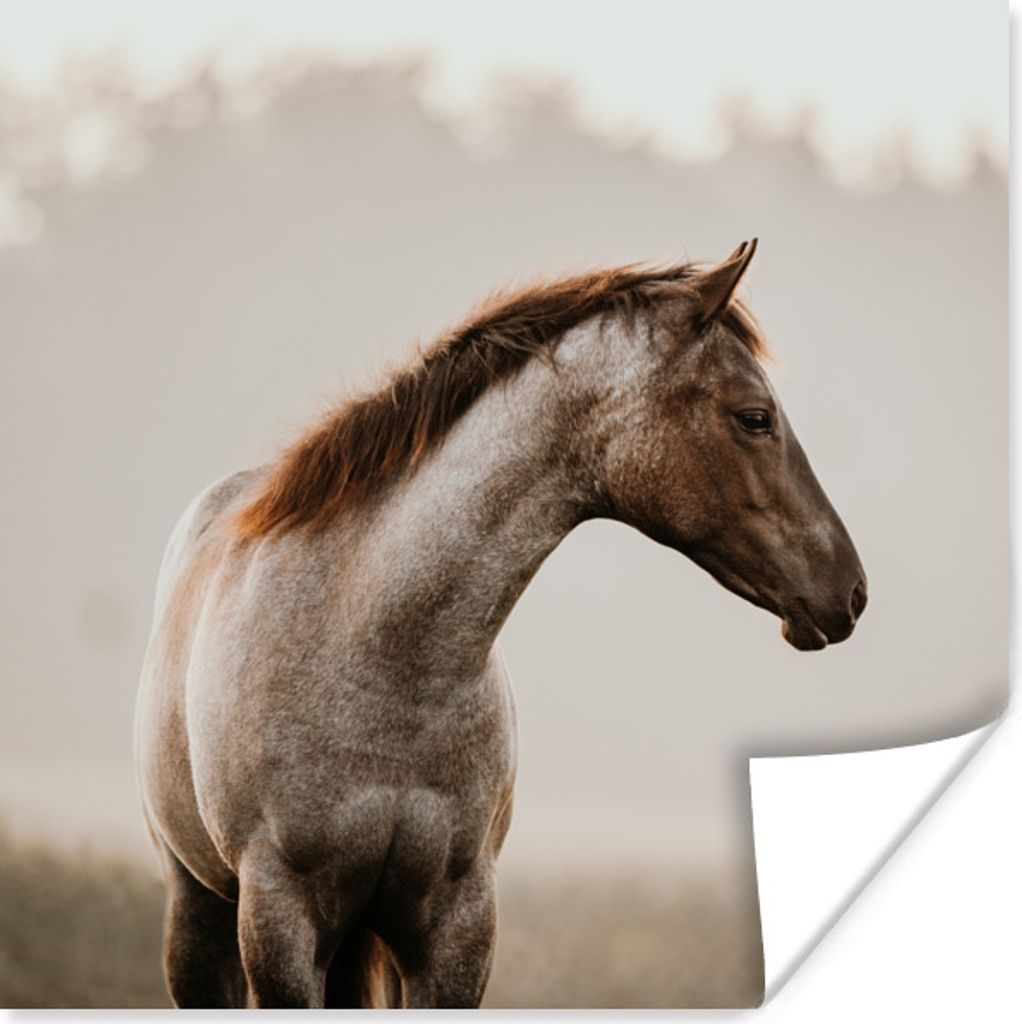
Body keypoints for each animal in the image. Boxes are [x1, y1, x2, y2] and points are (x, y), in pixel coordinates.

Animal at [134, 239, 866, 1008]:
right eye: (755, 417)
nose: (850, 590)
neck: (377, 652)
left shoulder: (457, 925)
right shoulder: (281, 922)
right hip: (201, 916)